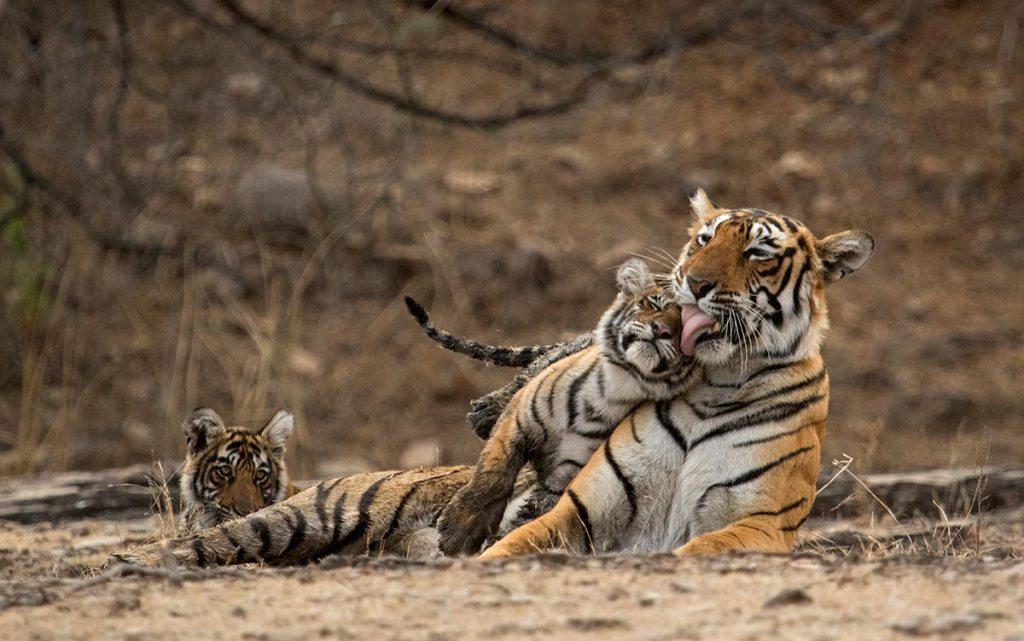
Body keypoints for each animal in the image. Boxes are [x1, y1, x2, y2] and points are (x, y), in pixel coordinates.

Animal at [424, 259, 699, 555]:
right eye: (652, 304)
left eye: (683, 330)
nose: (661, 330)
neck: (614, 388)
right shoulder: (518, 420)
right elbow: (494, 475)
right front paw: (458, 531)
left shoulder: (561, 477)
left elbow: (531, 515)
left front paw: (499, 541)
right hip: (545, 368)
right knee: (528, 373)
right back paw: (483, 413)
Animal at [479, 190, 874, 559]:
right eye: (705, 239)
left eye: (758, 252)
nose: (695, 283)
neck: (718, 382)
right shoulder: (581, 508)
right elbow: (513, 543)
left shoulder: (763, 522)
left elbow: (703, 546)